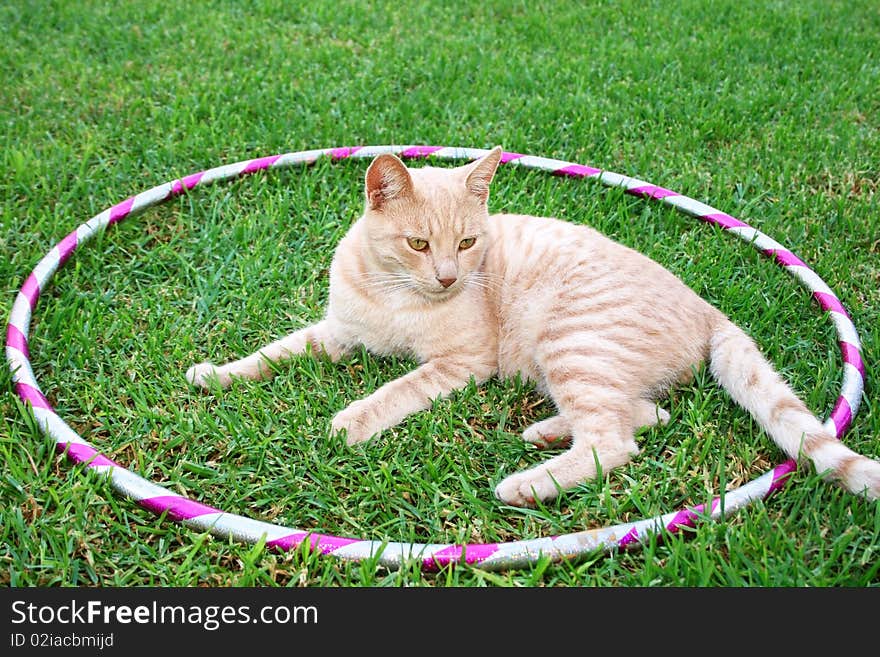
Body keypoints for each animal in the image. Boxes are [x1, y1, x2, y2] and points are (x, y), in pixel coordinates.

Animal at [189, 147, 880, 508]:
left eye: (468, 244)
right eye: (419, 244)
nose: (448, 277)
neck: (395, 294)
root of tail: (708, 309)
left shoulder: (461, 364)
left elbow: (395, 391)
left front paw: (350, 421)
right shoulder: (335, 333)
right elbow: (275, 352)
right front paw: (216, 374)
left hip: (571, 342)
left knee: (613, 441)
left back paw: (526, 483)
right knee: (645, 415)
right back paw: (546, 431)